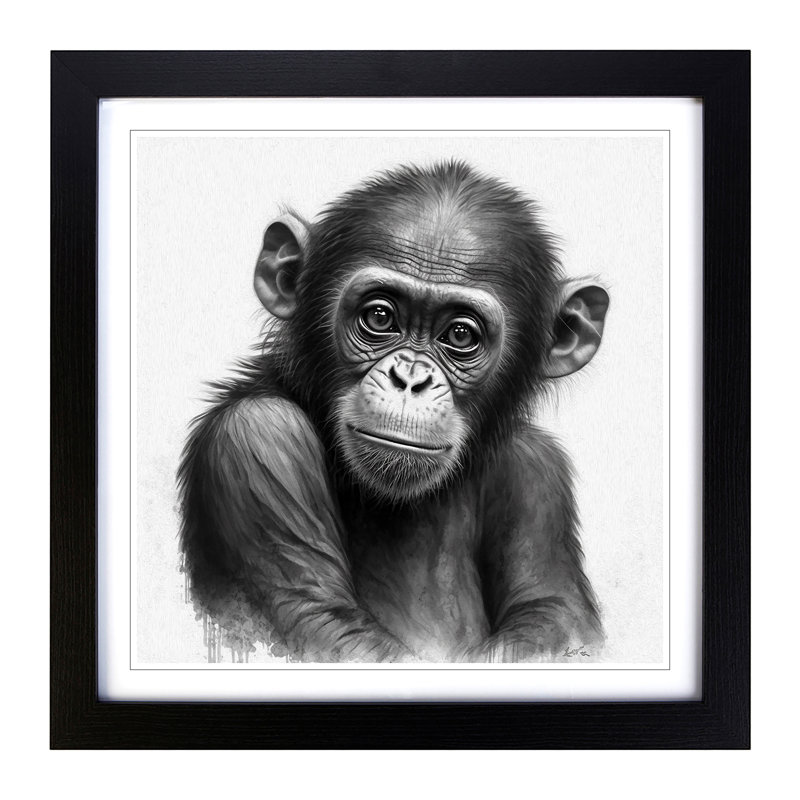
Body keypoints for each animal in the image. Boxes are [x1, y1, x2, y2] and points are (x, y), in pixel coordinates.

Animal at [178, 160, 609, 662]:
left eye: (460, 334)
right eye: (380, 317)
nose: (410, 379)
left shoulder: (537, 468)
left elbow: (555, 614)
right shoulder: (256, 440)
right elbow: (322, 621)